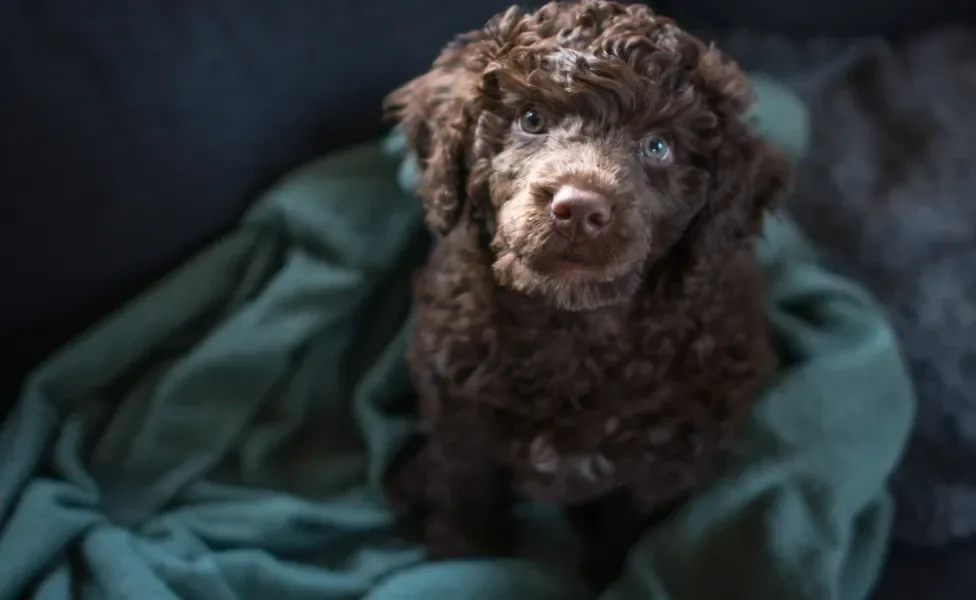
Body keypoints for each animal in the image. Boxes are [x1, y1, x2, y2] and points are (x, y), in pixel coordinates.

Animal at [382, 0, 792, 584]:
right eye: (531, 119)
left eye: (658, 147)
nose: (579, 209)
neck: (575, 325)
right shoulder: (460, 420)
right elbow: (466, 490)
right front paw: (464, 554)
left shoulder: (668, 457)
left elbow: (629, 521)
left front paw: (613, 575)